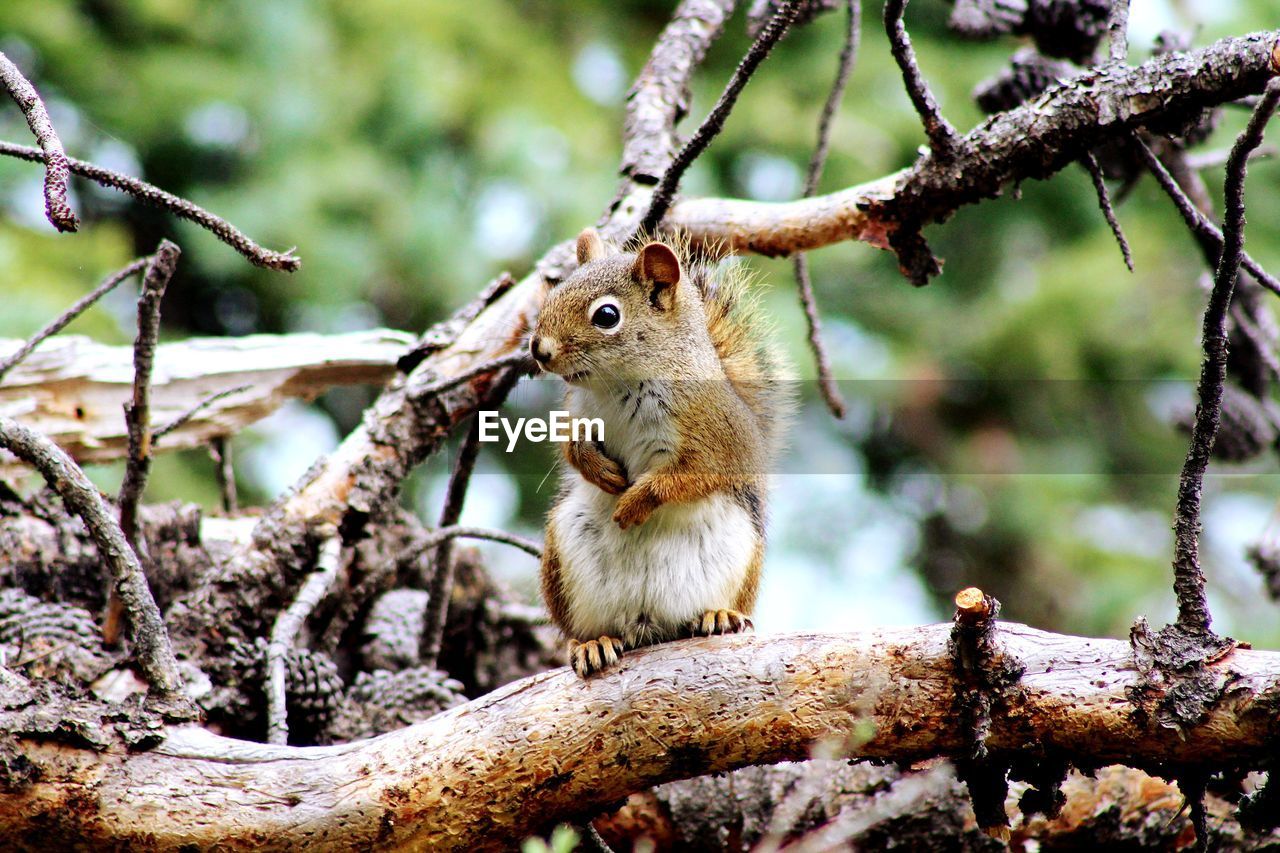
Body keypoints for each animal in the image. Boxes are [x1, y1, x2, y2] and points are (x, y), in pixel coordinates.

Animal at [529, 227, 788, 676]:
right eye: (554, 291)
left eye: (607, 316)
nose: (538, 349)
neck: (617, 386)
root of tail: (647, 626)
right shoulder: (576, 414)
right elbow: (572, 448)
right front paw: (602, 473)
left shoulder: (714, 435)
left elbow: (689, 477)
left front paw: (633, 502)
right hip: (563, 559)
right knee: (581, 629)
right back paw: (593, 643)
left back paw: (719, 615)